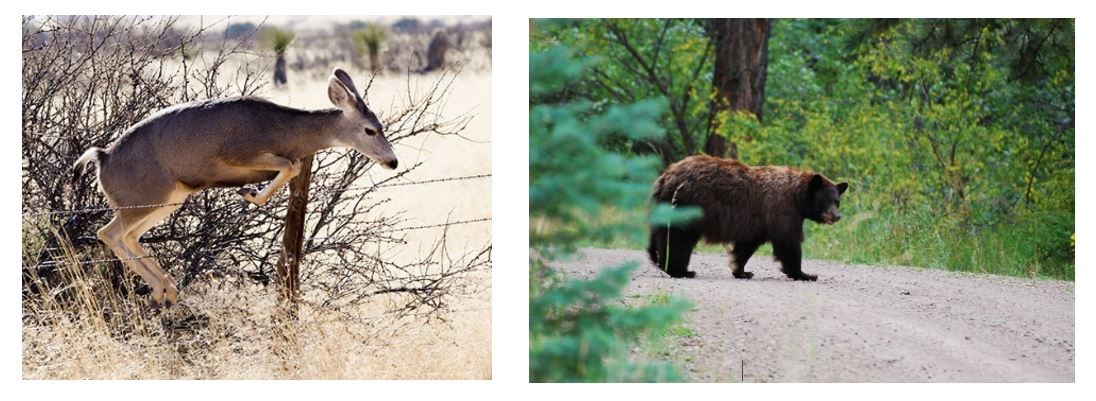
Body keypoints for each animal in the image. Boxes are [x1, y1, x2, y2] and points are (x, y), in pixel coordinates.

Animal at [71, 68, 398, 306]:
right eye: (370, 130)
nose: (392, 161)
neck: (286, 131)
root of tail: (102, 159)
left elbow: (291, 167)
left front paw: (250, 193)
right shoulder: (236, 154)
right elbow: (289, 165)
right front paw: (250, 194)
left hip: (167, 200)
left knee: (129, 236)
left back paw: (166, 289)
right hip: (146, 199)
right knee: (108, 233)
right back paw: (163, 287)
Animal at [644, 155, 850, 280]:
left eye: (837, 201)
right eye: (825, 201)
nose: (837, 216)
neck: (797, 197)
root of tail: (665, 177)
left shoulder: (756, 223)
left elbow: (746, 245)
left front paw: (741, 270)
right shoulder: (782, 210)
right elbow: (788, 241)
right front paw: (805, 274)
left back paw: (658, 260)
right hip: (686, 205)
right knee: (678, 239)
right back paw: (681, 271)